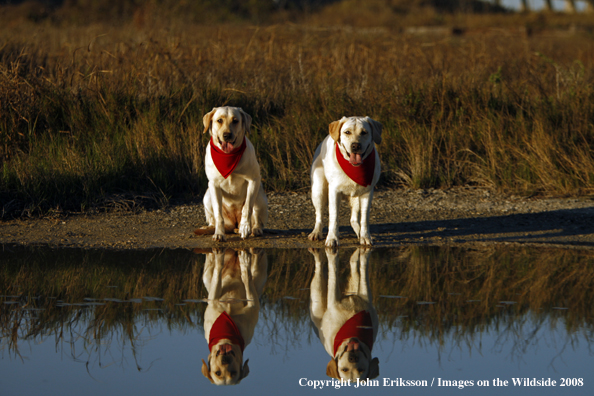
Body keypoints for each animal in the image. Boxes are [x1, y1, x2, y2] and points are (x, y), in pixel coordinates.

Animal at [195, 106, 268, 241]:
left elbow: (247, 208)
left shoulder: (253, 180)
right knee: (214, 219)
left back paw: (254, 229)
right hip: (207, 196)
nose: (227, 135)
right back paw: (210, 227)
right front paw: (219, 233)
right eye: (219, 120)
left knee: (256, 217)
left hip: (259, 195)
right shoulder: (213, 184)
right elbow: (218, 214)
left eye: (235, 121)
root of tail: (234, 224)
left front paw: (245, 227)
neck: (228, 156)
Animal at [199, 249, 266, 386]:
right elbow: (218, 271)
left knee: (255, 269)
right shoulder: (213, 299)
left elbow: (247, 278)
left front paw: (245, 264)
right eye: (217, 373)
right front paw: (219, 257)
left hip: (259, 278)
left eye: (233, 373)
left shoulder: (253, 304)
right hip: (206, 276)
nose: (225, 360)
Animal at [308, 114, 382, 246]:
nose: (355, 145)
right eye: (347, 132)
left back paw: (359, 232)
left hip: (356, 198)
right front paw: (332, 238)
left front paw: (365, 237)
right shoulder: (334, 191)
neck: (354, 167)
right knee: (319, 215)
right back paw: (316, 233)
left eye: (364, 132)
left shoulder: (367, 193)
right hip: (318, 191)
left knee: (353, 219)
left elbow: (364, 218)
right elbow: (334, 217)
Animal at [308, 248, 376, 380]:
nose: (353, 358)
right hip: (317, 298)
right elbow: (333, 271)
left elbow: (363, 268)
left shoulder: (365, 296)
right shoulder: (333, 299)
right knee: (319, 268)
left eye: (361, 370)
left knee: (354, 267)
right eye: (344, 369)